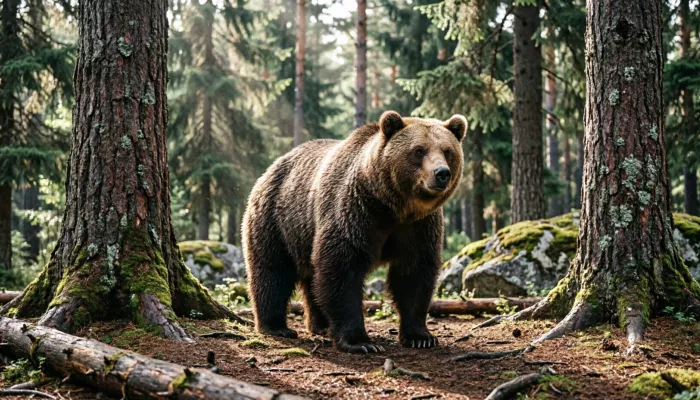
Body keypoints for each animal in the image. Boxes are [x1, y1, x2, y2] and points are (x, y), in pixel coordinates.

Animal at [242, 111, 466, 353]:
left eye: (447, 151)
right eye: (419, 150)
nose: (441, 173)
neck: (394, 207)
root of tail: (272, 167)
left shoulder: (419, 226)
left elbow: (414, 272)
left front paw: (420, 336)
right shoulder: (356, 211)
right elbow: (342, 268)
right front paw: (360, 341)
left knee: (311, 279)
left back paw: (321, 325)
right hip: (277, 220)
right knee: (272, 271)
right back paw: (276, 326)